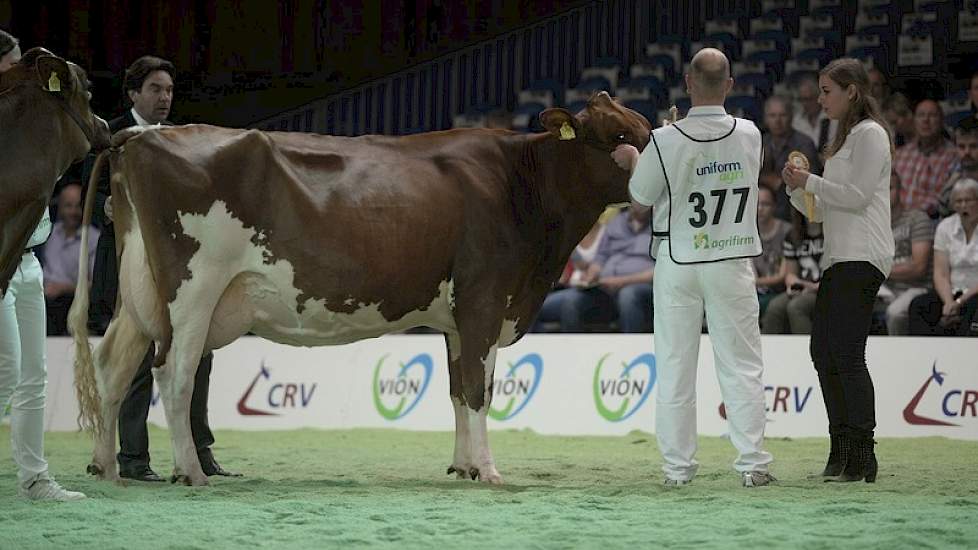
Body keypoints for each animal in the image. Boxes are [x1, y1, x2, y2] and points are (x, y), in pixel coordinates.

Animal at [68, 92, 648, 490]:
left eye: (645, 129)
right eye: (619, 137)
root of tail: (140, 136)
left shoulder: (457, 317)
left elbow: (458, 390)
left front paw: (462, 466)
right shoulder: (484, 300)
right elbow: (480, 391)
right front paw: (488, 470)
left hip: (138, 290)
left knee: (113, 364)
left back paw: (104, 467)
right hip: (192, 290)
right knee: (174, 373)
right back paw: (191, 472)